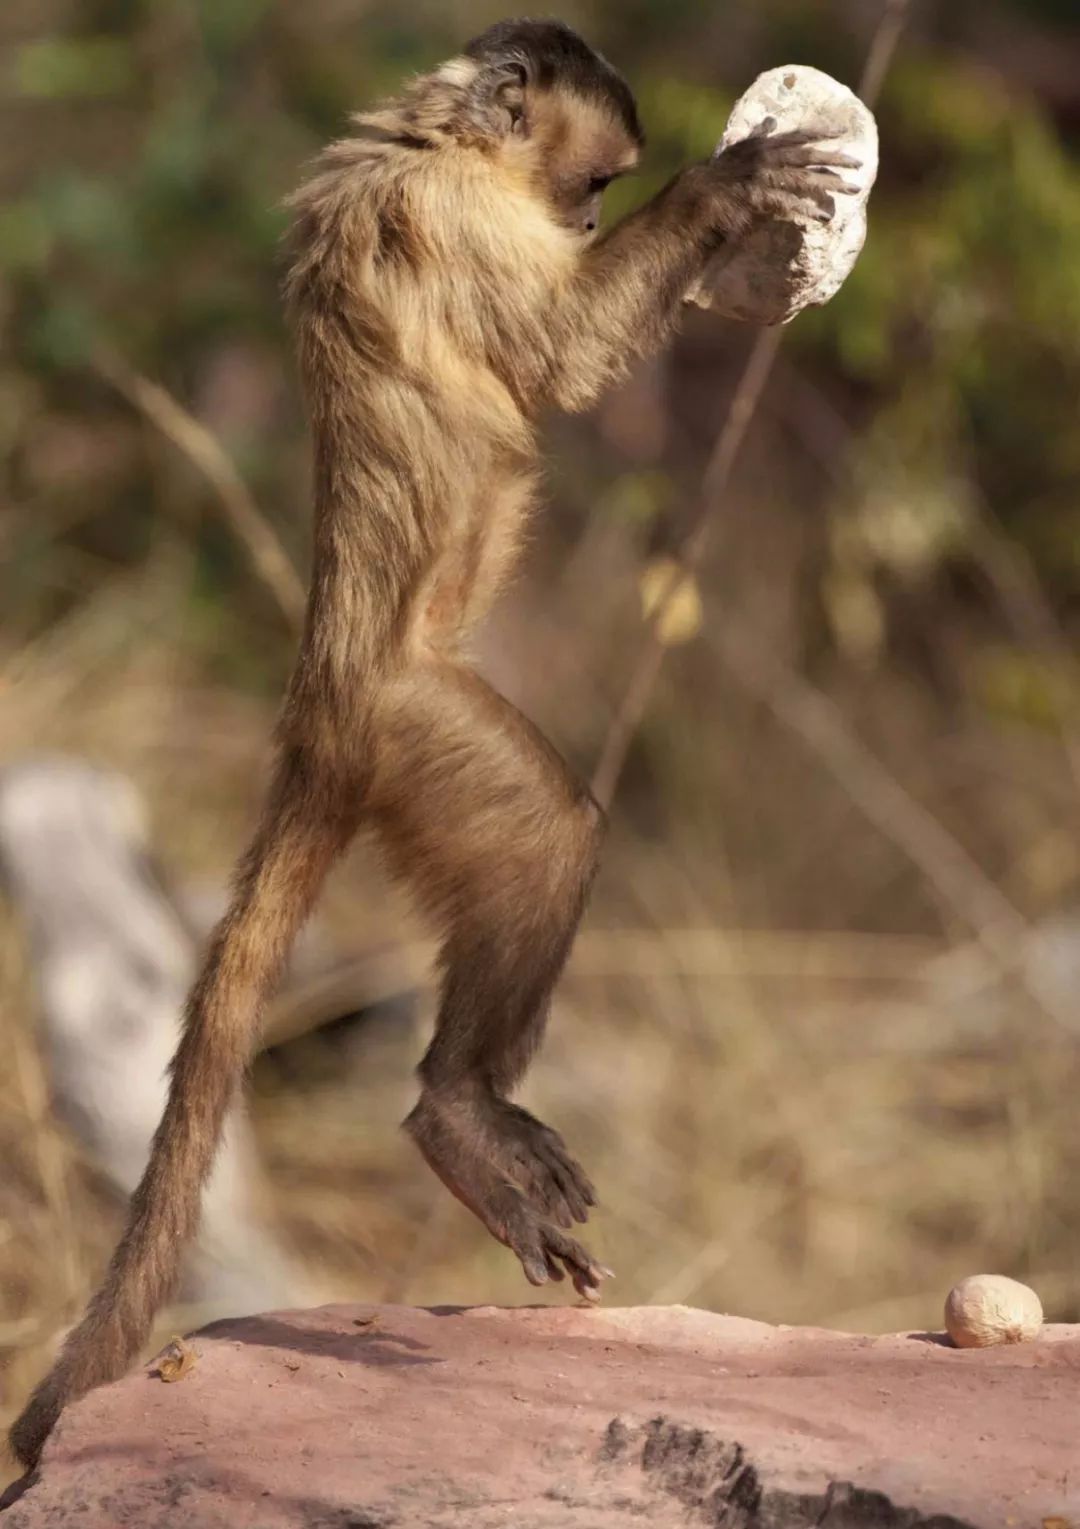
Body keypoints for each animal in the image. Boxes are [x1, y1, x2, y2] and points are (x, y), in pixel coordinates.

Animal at [6, 17, 850, 1461]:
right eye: (598, 185)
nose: (592, 217)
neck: (428, 136)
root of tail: (317, 699)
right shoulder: (455, 214)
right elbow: (561, 360)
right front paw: (725, 189)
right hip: (414, 726)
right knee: (551, 832)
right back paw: (454, 1109)